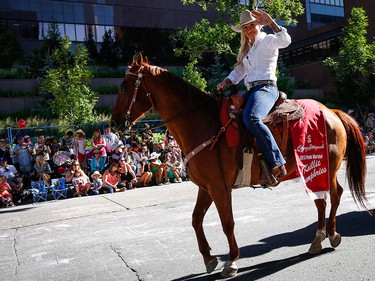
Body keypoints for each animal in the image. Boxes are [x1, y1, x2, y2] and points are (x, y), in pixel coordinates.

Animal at [111, 53, 370, 276]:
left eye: (124, 87)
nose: (114, 123)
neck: (201, 124)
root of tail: (331, 111)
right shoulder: (206, 187)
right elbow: (196, 219)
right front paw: (209, 258)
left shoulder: (219, 187)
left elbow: (227, 223)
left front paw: (232, 261)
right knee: (322, 199)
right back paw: (318, 239)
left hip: (326, 166)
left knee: (333, 194)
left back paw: (332, 235)